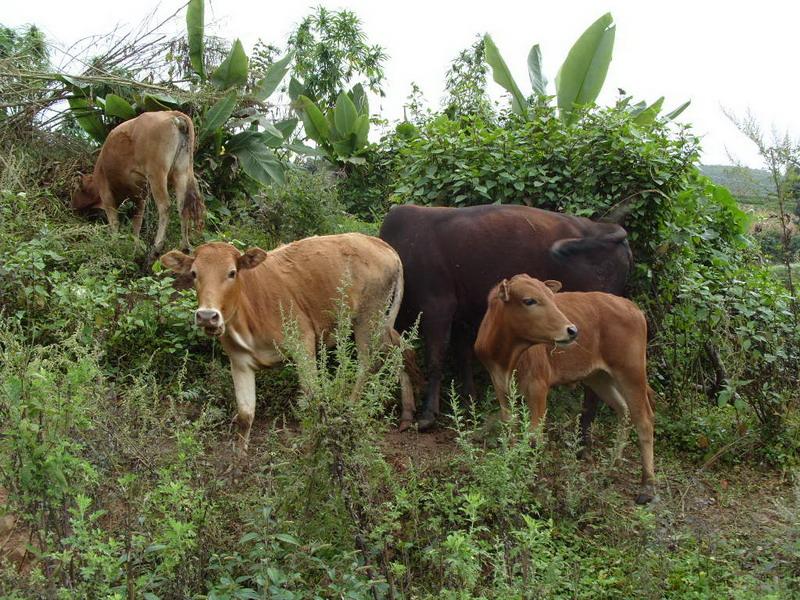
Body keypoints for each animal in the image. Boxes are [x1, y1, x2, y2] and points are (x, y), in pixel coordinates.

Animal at [70, 110, 205, 253]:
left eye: (74, 189)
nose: (72, 207)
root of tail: (172, 114)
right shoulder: (141, 196)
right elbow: (137, 222)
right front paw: (136, 247)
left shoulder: (105, 191)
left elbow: (114, 221)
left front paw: (114, 243)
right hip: (181, 172)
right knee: (183, 206)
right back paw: (185, 246)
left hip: (157, 174)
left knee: (165, 206)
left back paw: (157, 246)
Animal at [160, 232, 416, 452]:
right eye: (194, 274)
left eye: (232, 273)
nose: (207, 316)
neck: (248, 308)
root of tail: (381, 245)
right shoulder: (239, 361)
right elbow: (245, 415)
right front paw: (239, 460)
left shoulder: (304, 343)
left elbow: (311, 400)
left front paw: (311, 446)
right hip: (381, 323)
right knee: (400, 348)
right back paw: (407, 414)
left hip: (368, 318)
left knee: (367, 366)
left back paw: (349, 411)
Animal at [378, 204, 636, 434]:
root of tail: (603, 228)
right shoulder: (462, 316)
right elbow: (463, 357)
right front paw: (469, 405)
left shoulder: (438, 307)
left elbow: (435, 359)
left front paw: (428, 416)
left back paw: (583, 436)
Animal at [476, 274, 656, 504]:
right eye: (529, 300)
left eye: (551, 297)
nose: (572, 330)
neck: (506, 356)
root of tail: (630, 306)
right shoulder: (500, 385)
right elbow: (509, 428)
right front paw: (510, 466)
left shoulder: (538, 386)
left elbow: (534, 436)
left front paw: (531, 479)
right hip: (598, 376)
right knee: (622, 409)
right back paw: (613, 463)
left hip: (631, 371)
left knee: (644, 419)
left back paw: (647, 486)